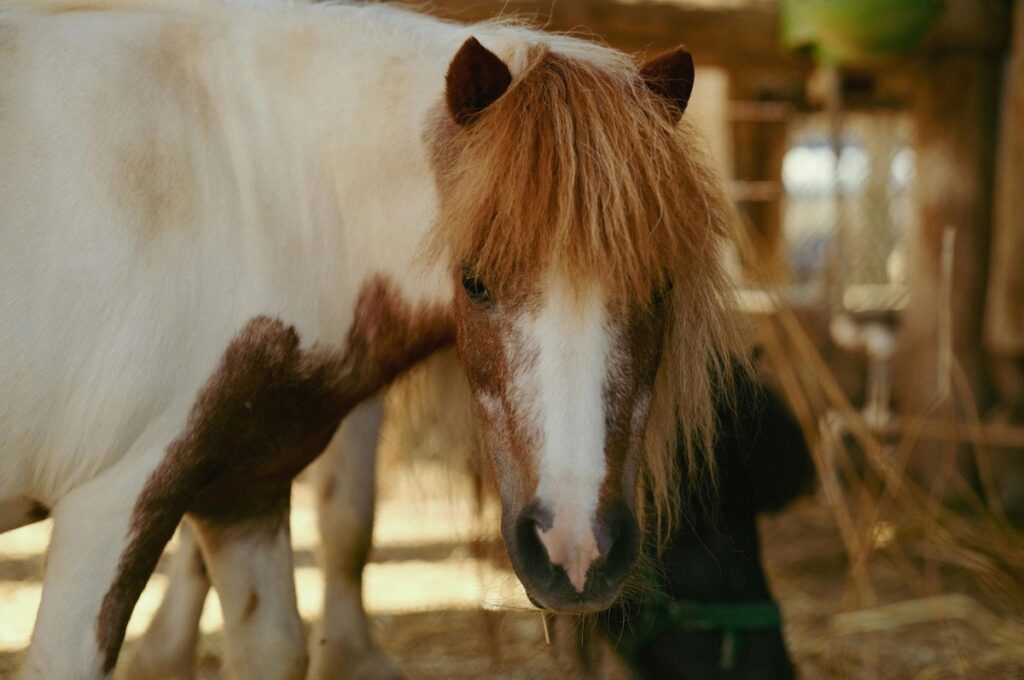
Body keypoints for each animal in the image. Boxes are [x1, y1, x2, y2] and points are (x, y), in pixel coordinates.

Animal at [0, 0, 740, 676]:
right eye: (473, 282)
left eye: (661, 287)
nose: (576, 551)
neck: (250, 189)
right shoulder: (110, 505)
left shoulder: (243, 496)